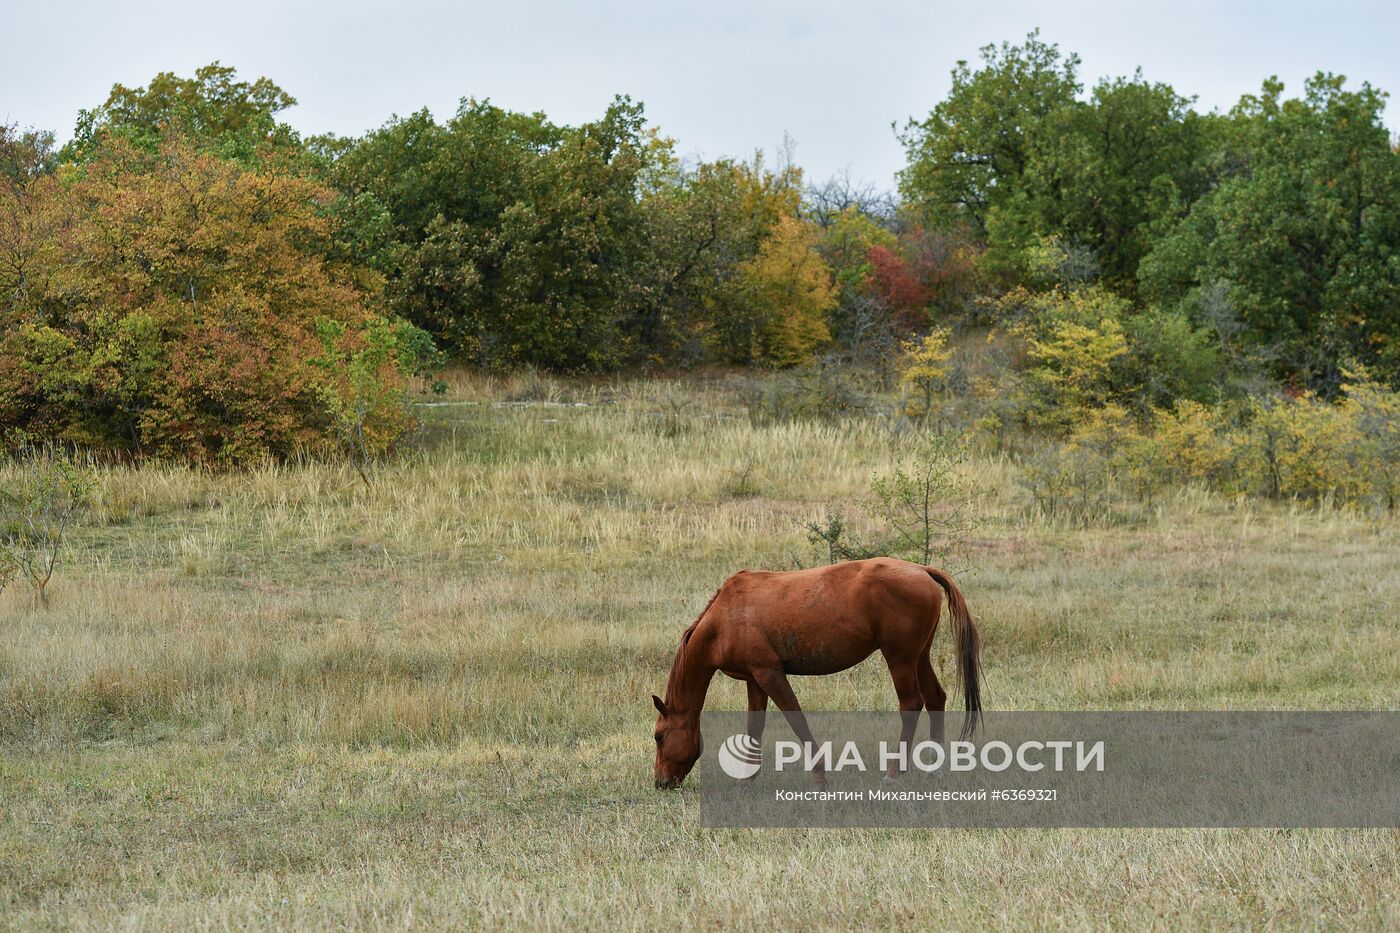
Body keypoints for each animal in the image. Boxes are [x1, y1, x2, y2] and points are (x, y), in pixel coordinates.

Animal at [649, 554, 980, 790]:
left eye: (659, 737)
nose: (660, 783)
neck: (722, 621)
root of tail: (921, 570)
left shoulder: (769, 674)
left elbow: (797, 720)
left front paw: (820, 776)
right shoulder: (754, 680)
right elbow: (755, 727)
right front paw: (747, 777)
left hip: (900, 658)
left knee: (911, 704)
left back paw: (894, 773)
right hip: (919, 657)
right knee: (935, 698)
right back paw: (934, 770)